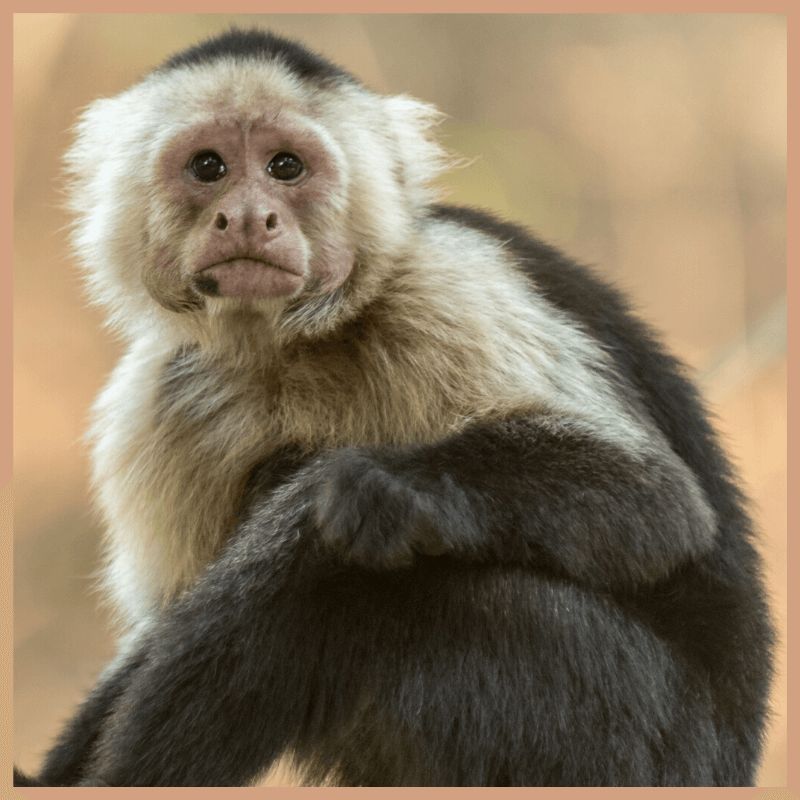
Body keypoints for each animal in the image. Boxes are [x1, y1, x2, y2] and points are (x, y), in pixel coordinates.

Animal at [15, 28, 773, 787]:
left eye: (286, 167)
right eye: (209, 167)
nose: (248, 218)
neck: (290, 342)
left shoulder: (445, 286)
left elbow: (659, 501)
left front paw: (382, 487)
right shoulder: (160, 394)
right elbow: (158, 628)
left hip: (644, 744)